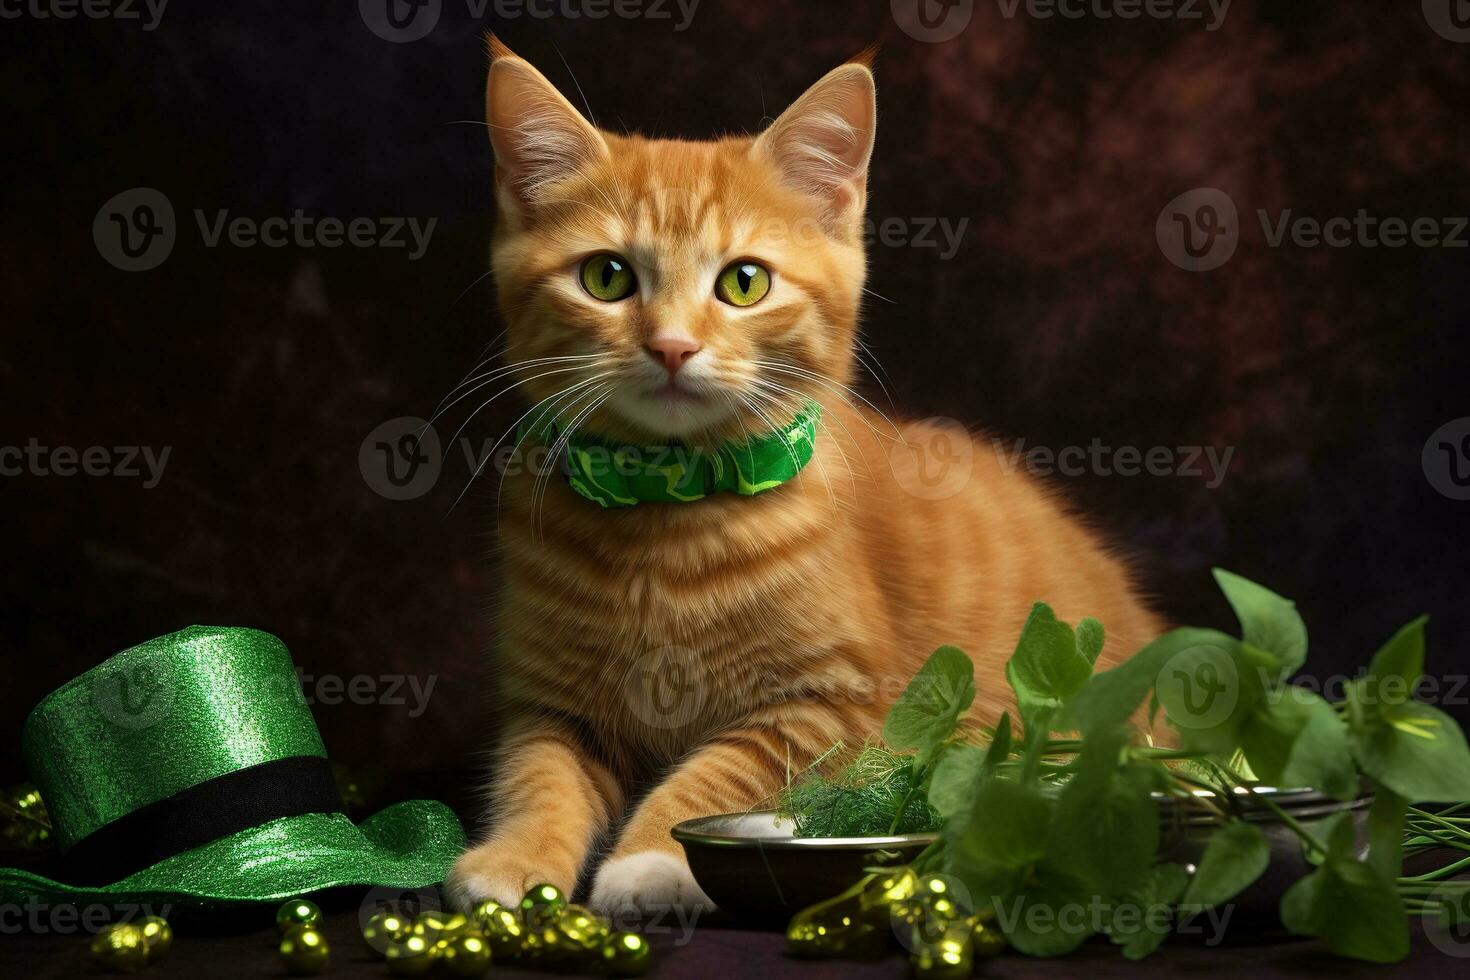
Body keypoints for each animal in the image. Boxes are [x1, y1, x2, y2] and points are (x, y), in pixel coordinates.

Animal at [446, 36, 1158, 910]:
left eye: (743, 282)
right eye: (607, 277)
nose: (672, 345)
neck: (667, 506)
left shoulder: (832, 707)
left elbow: (715, 776)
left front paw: (652, 860)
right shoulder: (551, 704)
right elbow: (537, 777)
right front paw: (515, 859)